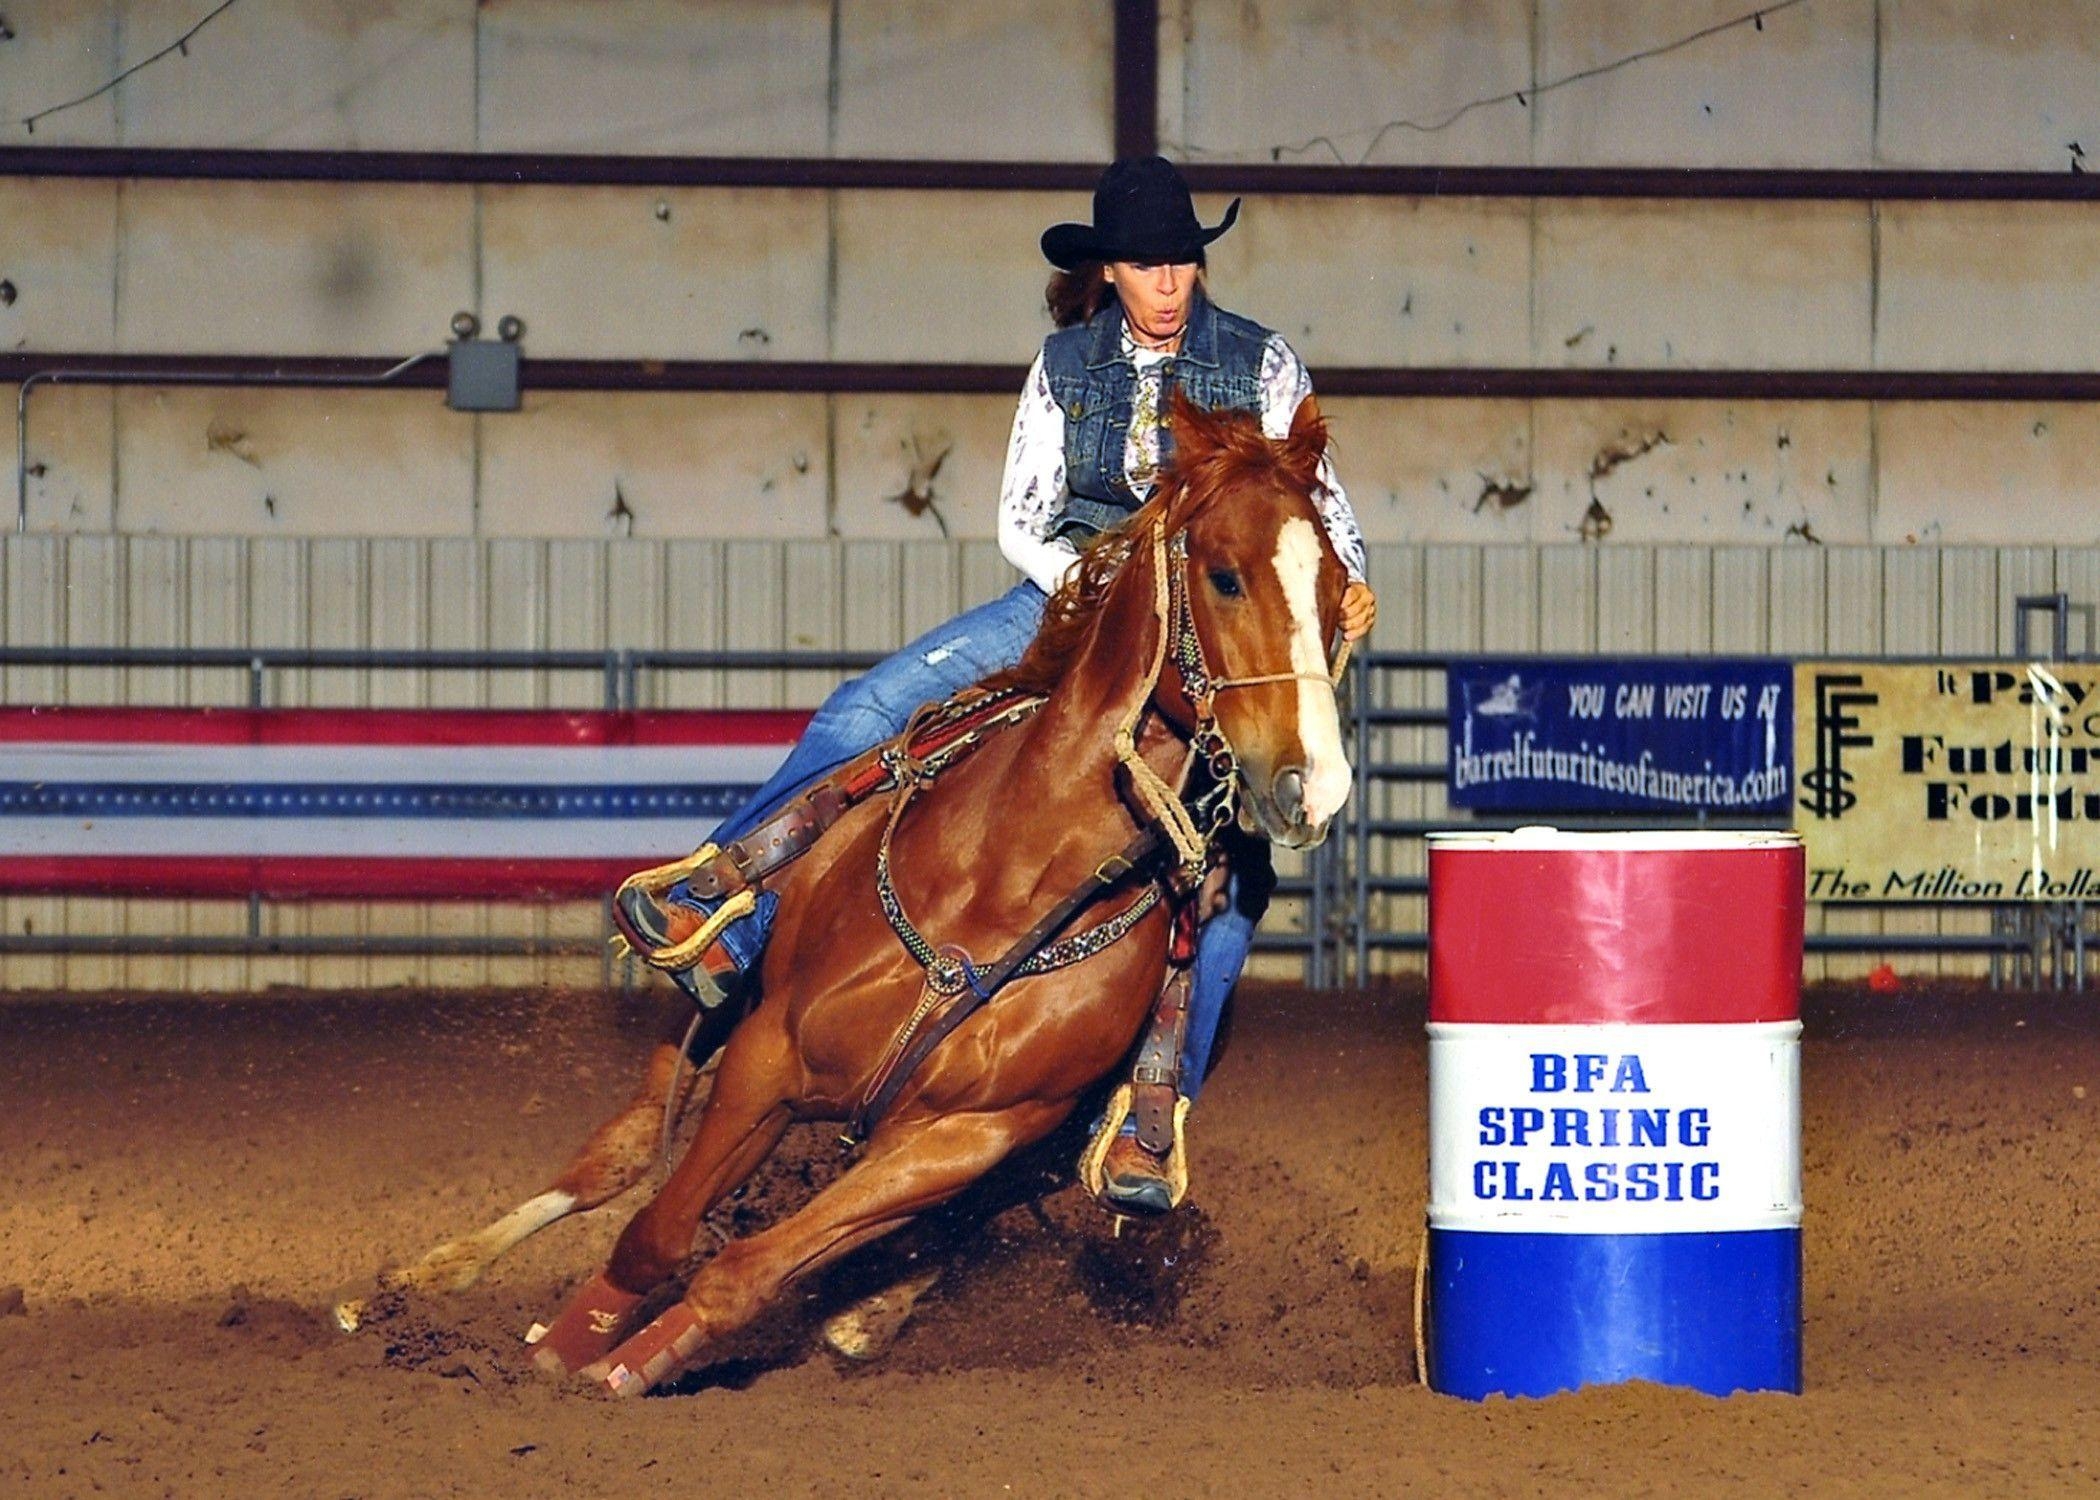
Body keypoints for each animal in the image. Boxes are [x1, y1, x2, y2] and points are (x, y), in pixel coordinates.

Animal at [352, 397, 1352, 1386]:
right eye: (1224, 577)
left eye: (1339, 589)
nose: (1314, 784)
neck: (1012, 884)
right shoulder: (768, 1060)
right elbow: (657, 1232)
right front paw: (555, 1357)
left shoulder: (962, 1141)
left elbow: (744, 1273)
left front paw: (625, 1367)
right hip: (714, 1012)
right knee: (620, 1153)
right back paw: (411, 1285)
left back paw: (867, 1316)